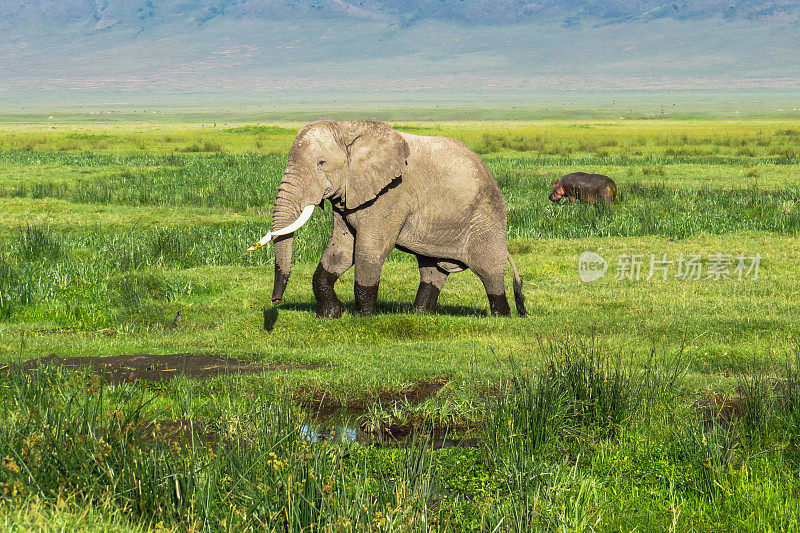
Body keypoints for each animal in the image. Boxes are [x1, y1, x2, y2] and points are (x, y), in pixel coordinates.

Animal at [248, 120, 524, 316]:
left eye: (321, 163)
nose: (275, 300)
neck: (349, 130)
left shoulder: (392, 194)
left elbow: (370, 250)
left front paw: (365, 318)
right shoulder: (349, 196)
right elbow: (341, 250)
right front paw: (331, 315)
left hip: (485, 216)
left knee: (489, 271)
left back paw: (502, 317)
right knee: (432, 270)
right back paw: (420, 315)